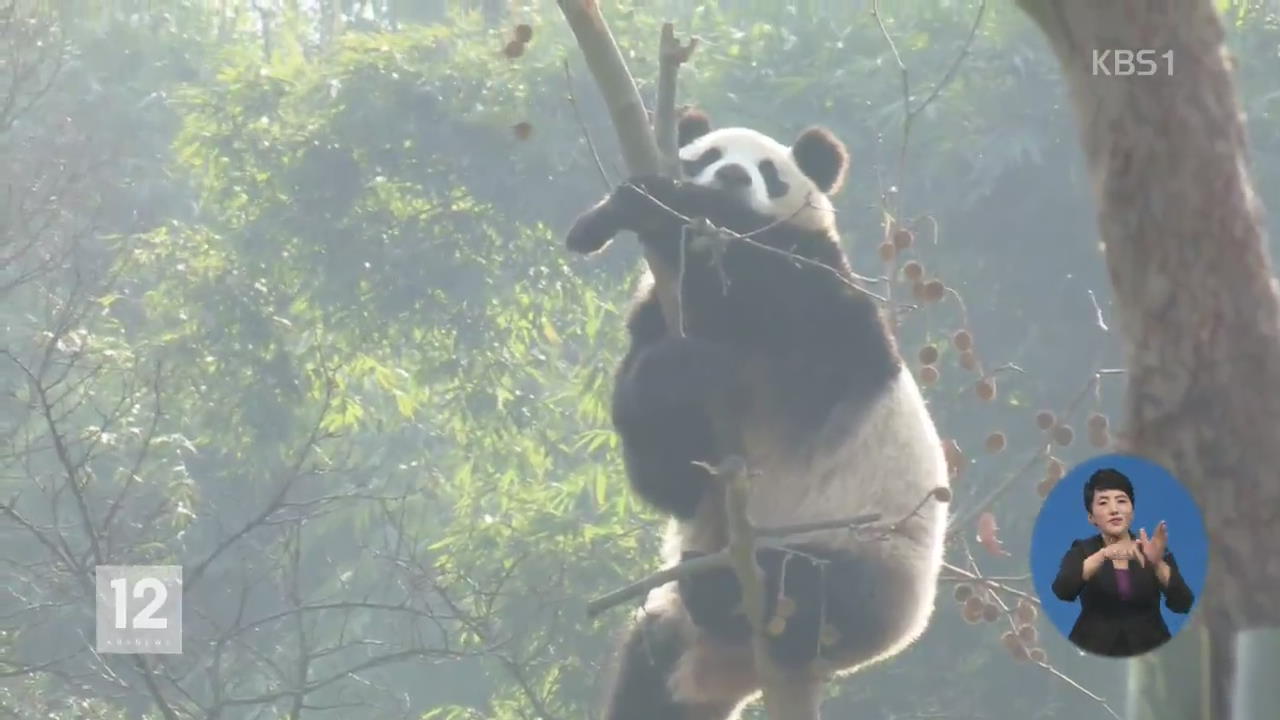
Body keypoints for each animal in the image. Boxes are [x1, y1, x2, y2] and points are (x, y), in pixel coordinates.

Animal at [565, 107, 947, 717]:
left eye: (769, 172)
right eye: (706, 156)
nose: (731, 178)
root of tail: (726, 669)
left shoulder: (824, 300)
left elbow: (779, 279)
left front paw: (650, 204)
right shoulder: (660, 315)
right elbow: (669, 474)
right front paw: (677, 372)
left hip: (870, 553)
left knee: (814, 590)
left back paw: (726, 591)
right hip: (672, 633)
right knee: (649, 673)